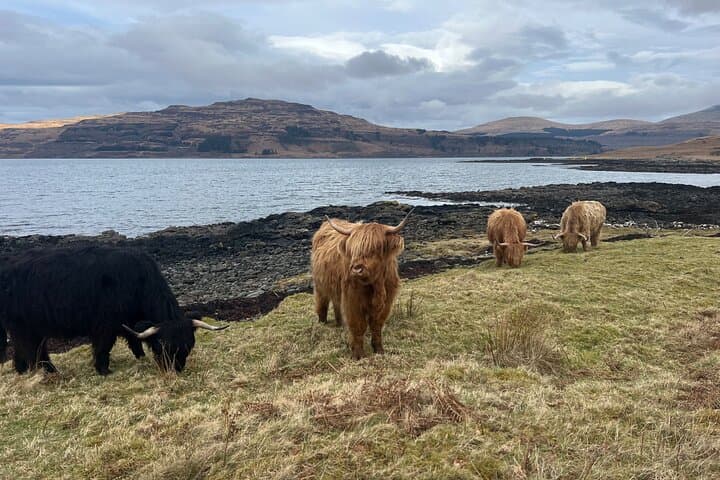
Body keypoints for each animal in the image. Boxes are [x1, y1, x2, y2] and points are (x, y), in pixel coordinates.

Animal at [0, 246, 227, 375]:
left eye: (189, 345)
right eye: (164, 346)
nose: (176, 369)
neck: (138, 282)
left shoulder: (130, 321)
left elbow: (134, 338)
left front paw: (140, 357)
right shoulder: (105, 325)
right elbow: (103, 347)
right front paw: (103, 370)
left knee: (22, 347)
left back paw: (22, 370)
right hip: (26, 325)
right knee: (35, 349)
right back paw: (50, 371)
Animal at [311, 208, 412, 360]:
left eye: (376, 247)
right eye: (353, 249)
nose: (356, 269)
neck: (376, 285)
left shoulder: (386, 302)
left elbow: (376, 326)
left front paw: (379, 349)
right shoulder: (353, 300)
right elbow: (358, 326)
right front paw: (358, 355)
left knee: (336, 303)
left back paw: (340, 323)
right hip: (320, 284)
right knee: (322, 302)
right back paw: (322, 323)